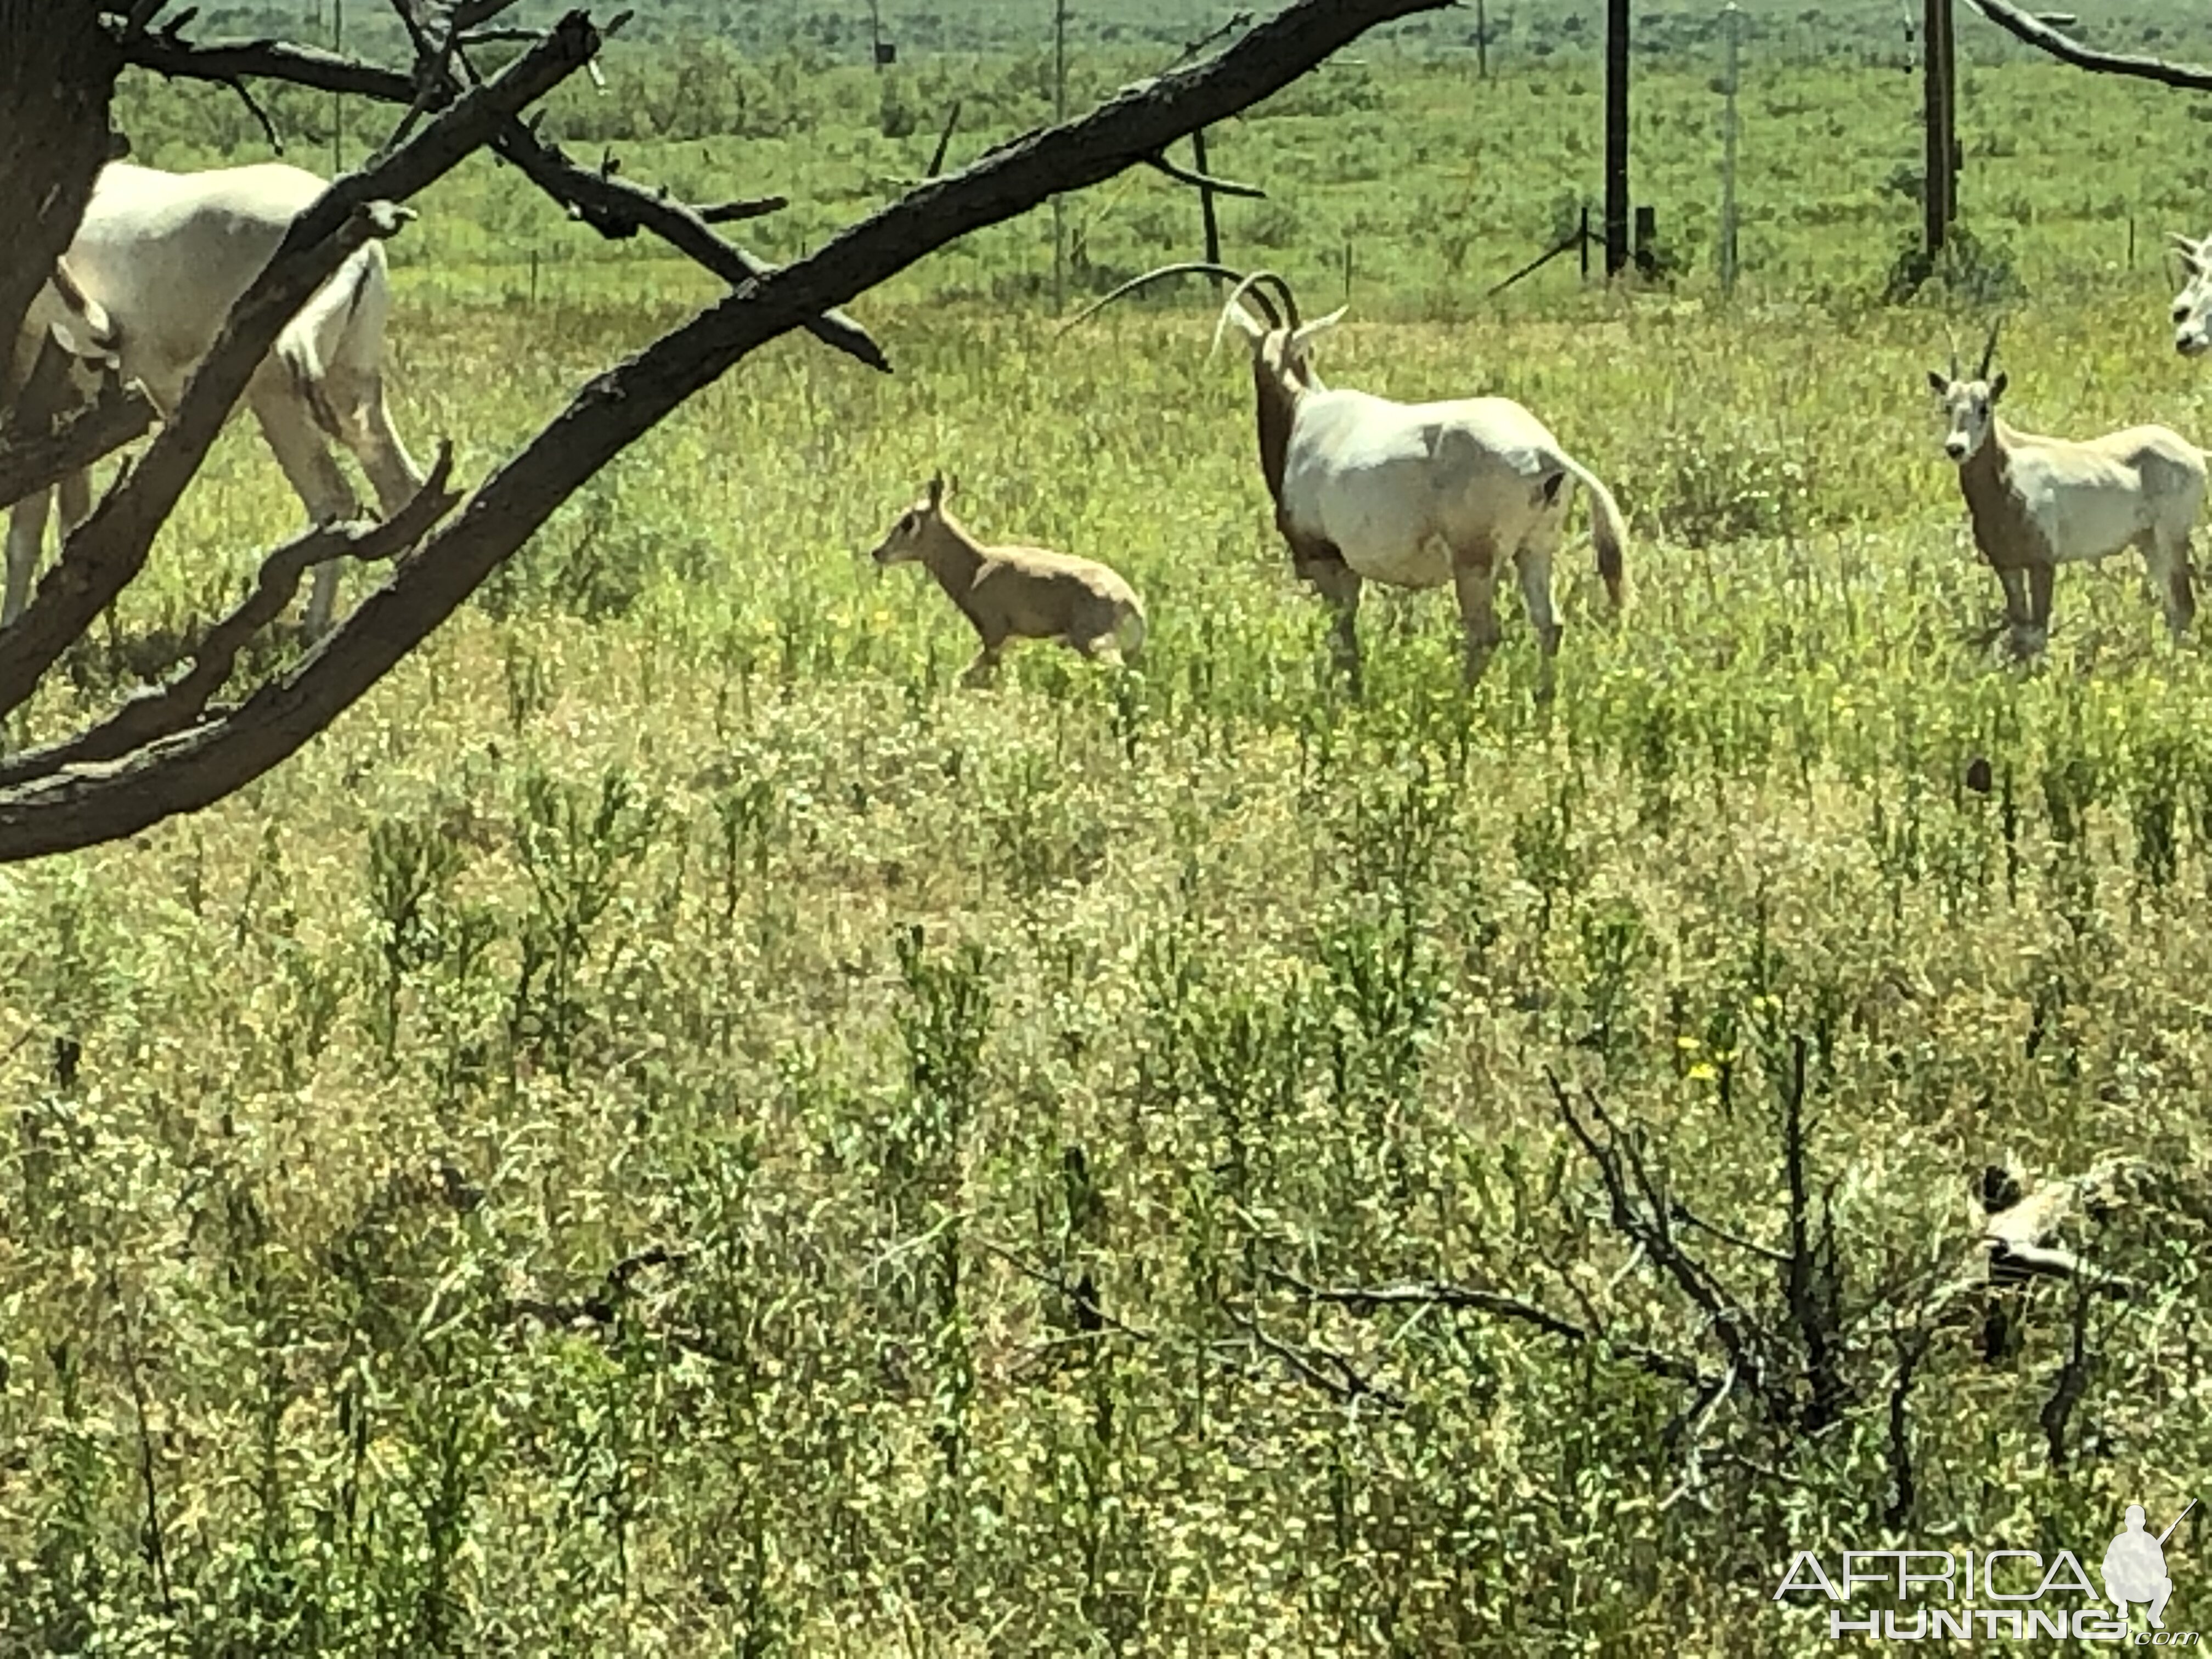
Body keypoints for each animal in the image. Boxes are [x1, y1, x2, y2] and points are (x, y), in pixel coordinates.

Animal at [1, 162, 427, 641]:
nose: (109, 334)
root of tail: (357, 250)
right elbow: (70, 518)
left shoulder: (38, 411)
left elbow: (25, 531)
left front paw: (15, 625)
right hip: (351, 386)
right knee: (395, 483)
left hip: (275, 397)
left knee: (334, 497)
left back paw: (318, 626)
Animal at [862, 471, 1150, 685]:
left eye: (908, 522)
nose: (878, 552)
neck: (977, 567)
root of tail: (1132, 607)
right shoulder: (1008, 640)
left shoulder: (994, 636)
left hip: (1094, 647)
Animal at [1062, 259, 1637, 690]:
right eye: (1310, 350)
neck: (1303, 410)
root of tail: (1546, 451)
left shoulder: (1326, 561)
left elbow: (1343, 638)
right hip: (1534, 550)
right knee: (1550, 625)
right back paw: (1543, 712)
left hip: (1474, 562)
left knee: (1485, 633)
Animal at [1928, 331, 2203, 654]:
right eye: (1947, 407)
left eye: (1984, 407)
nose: (1956, 448)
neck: (2009, 477)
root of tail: (2192, 452)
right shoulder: (2007, 566)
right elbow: (2021, 631)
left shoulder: (2043, 563)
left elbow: (2038, 634)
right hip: (2148, 542)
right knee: (2174, 607)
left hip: (2171, 536)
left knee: (2184, 605)